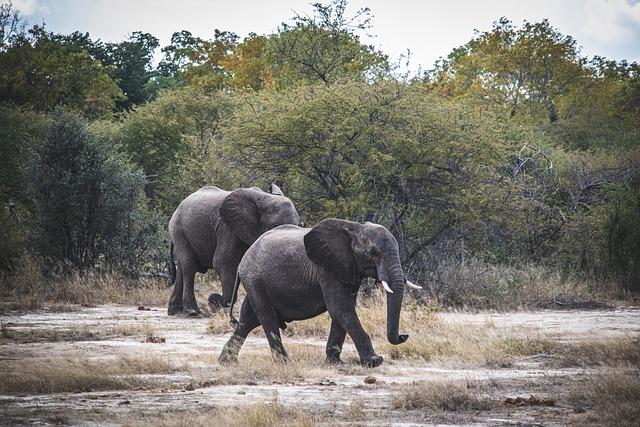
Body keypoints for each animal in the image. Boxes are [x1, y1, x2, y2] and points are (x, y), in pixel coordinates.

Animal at [166, 185, 298, 318]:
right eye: (275, 225)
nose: (213, 301)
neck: (265, 198)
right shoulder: (227, 228)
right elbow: (223, 262)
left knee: (181, 268)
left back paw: (175, 311)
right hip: (177, 229)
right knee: (189, 265)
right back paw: (192, 312)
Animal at [218, 219, 422, 370]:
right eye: (373, 252)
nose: (404, 336)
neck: (355, 228)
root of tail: (243, 259)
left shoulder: (347, 268)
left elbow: (342, 311)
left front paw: (335, 363)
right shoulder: (326, 270)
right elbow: (340, 309)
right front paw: (374, 361)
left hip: (256, 281)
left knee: (248, 319)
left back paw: (227, 362)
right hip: (254, 279)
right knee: (265, 316)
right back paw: (284, 362)